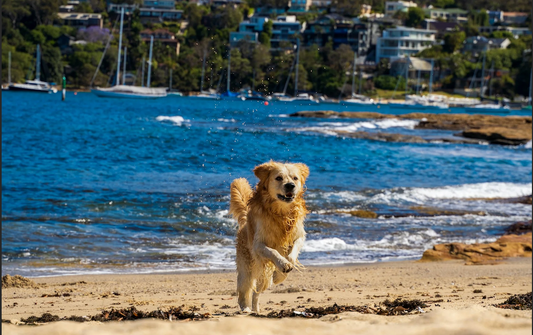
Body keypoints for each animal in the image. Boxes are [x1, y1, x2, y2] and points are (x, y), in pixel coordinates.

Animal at [228, 161, 308, 314]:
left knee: (256, 293)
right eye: (278, 178)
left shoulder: (299, 236)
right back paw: (246, 309)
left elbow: (292, 255)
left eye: (295, 178)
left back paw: (256, 310)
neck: (281, 212)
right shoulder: (258, 245)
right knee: (244, 290)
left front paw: (280, 274)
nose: (290, 185)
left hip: (264, 278)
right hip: (246, 268)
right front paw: (282, 264)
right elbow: (273, 251)